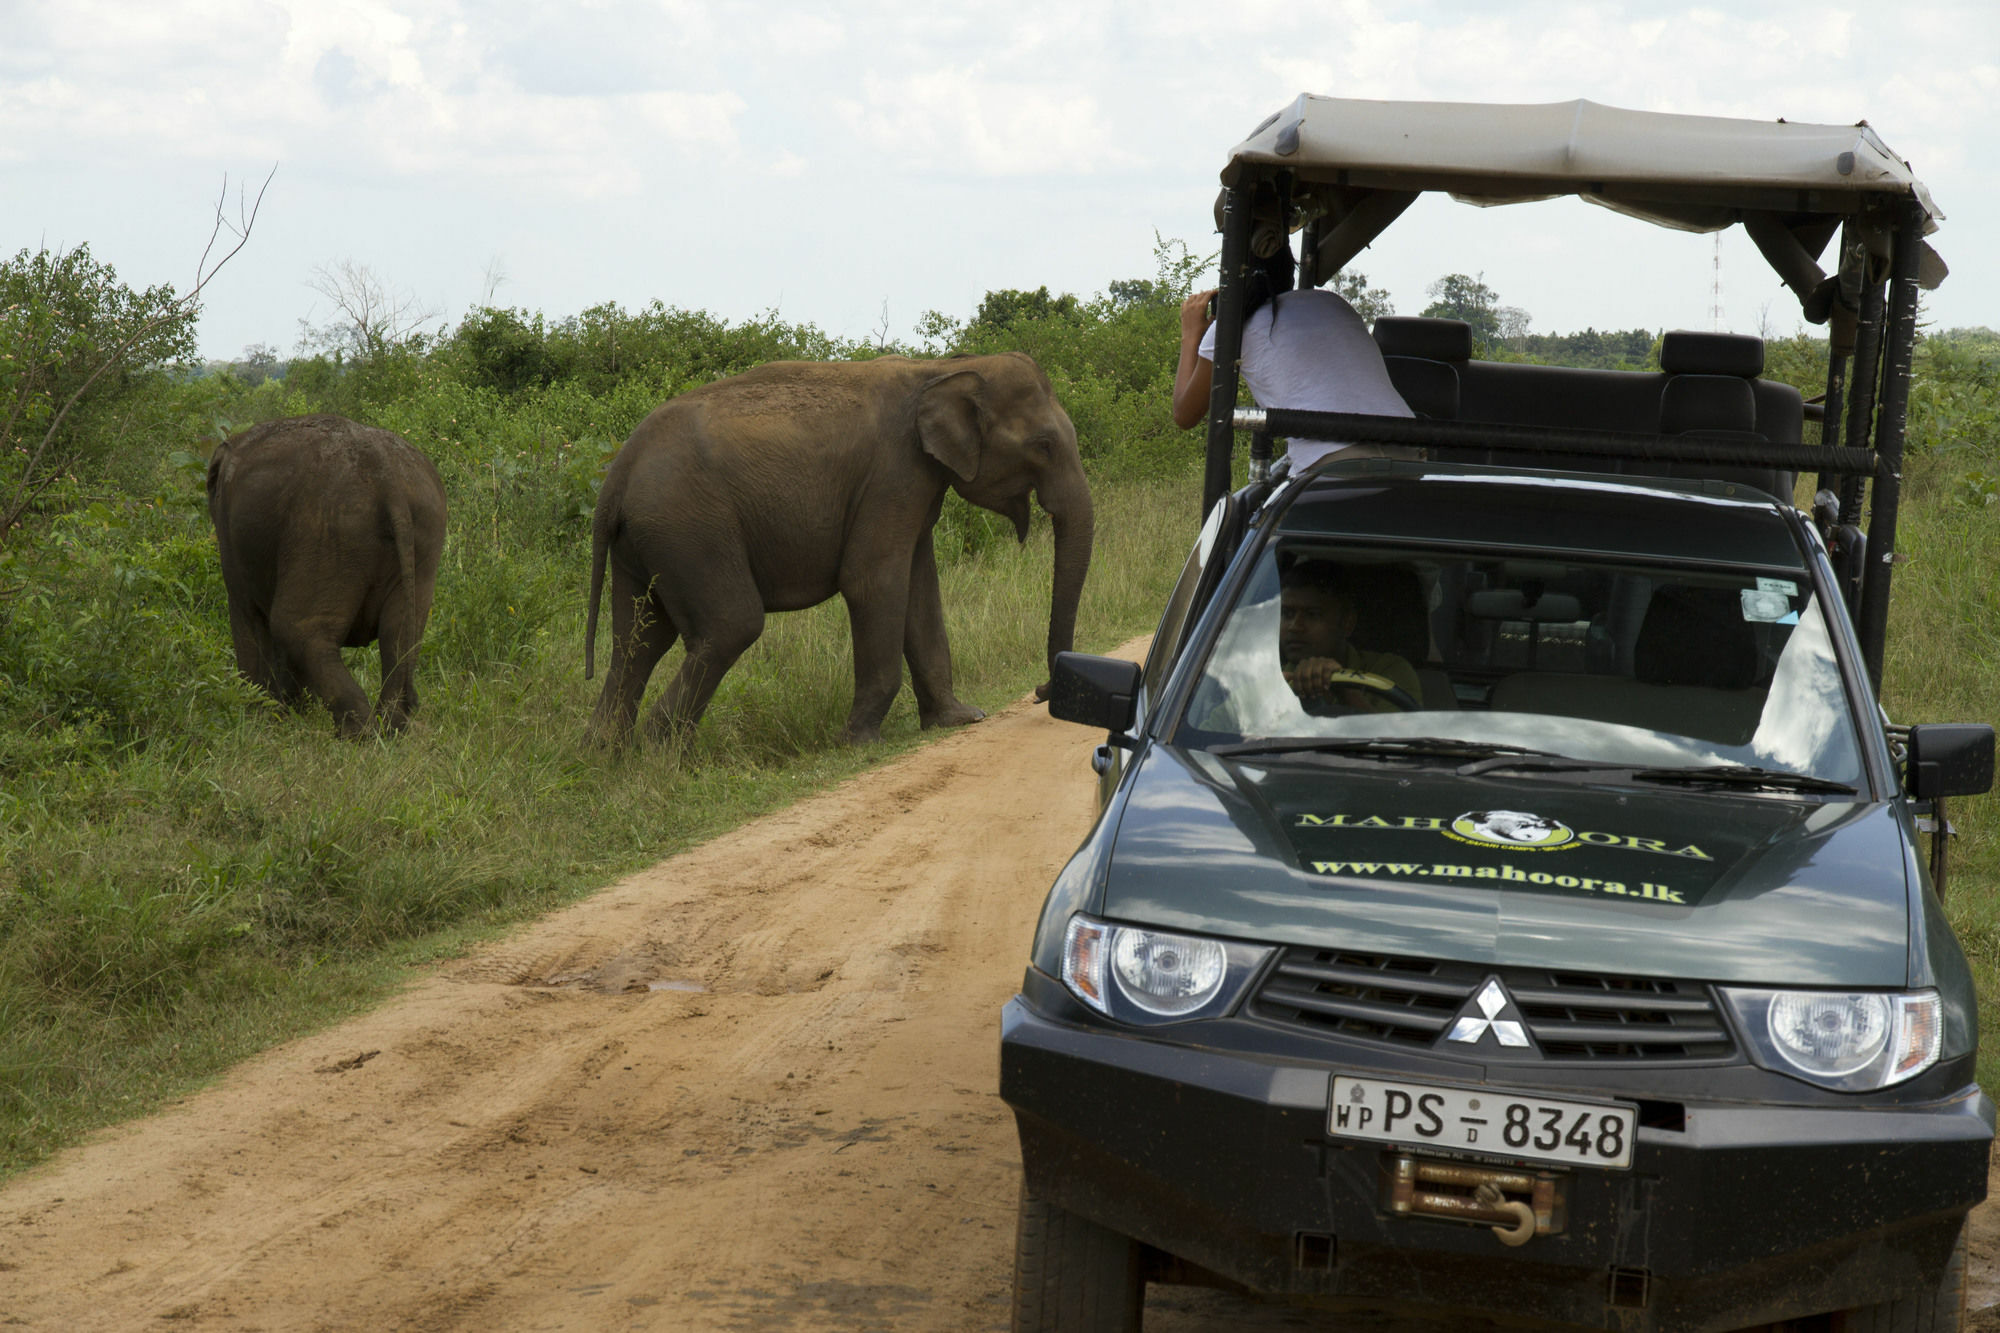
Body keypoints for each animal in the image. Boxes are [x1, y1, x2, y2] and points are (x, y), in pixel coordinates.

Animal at [208, 410, 450, 732]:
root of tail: (388, 479)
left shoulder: (233, 545)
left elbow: (247, 617)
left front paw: (263, 720)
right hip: (422, 535)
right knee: (399, 634)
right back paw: (390, 728)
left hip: (326, 533)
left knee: (296, 629)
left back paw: (360, 734)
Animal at [584, 350, 1096, 748]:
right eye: (1044, 445)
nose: (1040, 690)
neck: (942, 368)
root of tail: (616, 473)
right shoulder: (893, 475)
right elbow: (873, 581)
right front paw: (858, 741)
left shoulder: (917, 483)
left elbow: (919, 589)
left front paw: (959, 719)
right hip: (690, 527)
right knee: (730, 625)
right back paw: (661, 755)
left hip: (648, 539)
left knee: (639, 641)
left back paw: (607, 756)